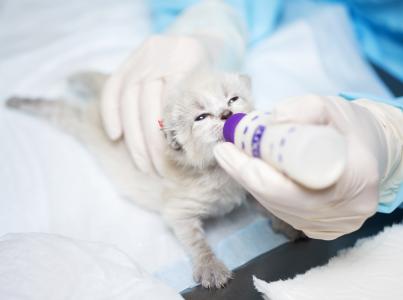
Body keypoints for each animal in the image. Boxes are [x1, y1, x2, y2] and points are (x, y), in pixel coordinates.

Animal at [5, 69, 304, 288]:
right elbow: (196, 240)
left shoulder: (245, 184)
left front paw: (288, 221)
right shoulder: (178, 211)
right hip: (79, 124)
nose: (228, 114)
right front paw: (209, 267)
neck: (217, 170)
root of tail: (101, 106)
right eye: (201, 117)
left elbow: (266, 203)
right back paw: (24, 100)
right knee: (62, 109)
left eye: (232, 99)